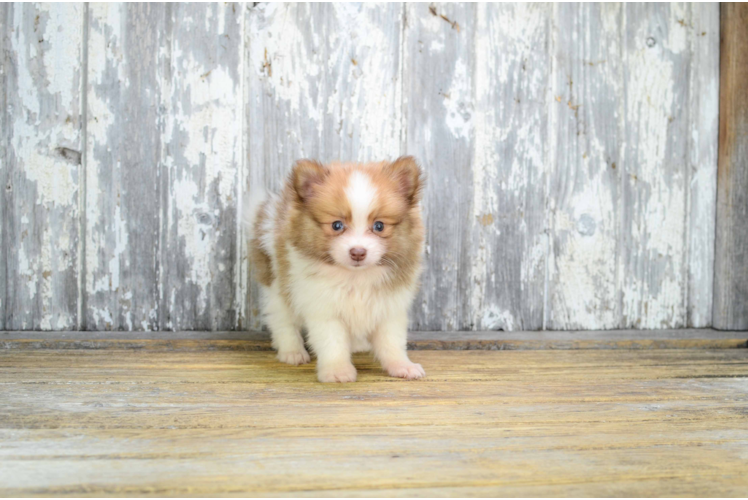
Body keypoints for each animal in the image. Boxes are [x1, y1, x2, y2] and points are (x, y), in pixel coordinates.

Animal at [247, 156, 426, 382]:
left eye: (379, 226)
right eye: (337, 225)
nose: (358, 252)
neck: (355, 277)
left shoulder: (388, 306)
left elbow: (391, 342)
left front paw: (402, 366)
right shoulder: (323, 307)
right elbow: (332, 342)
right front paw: (337, 370)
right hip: (276, 282)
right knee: (282, 318)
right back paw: (292, 351)